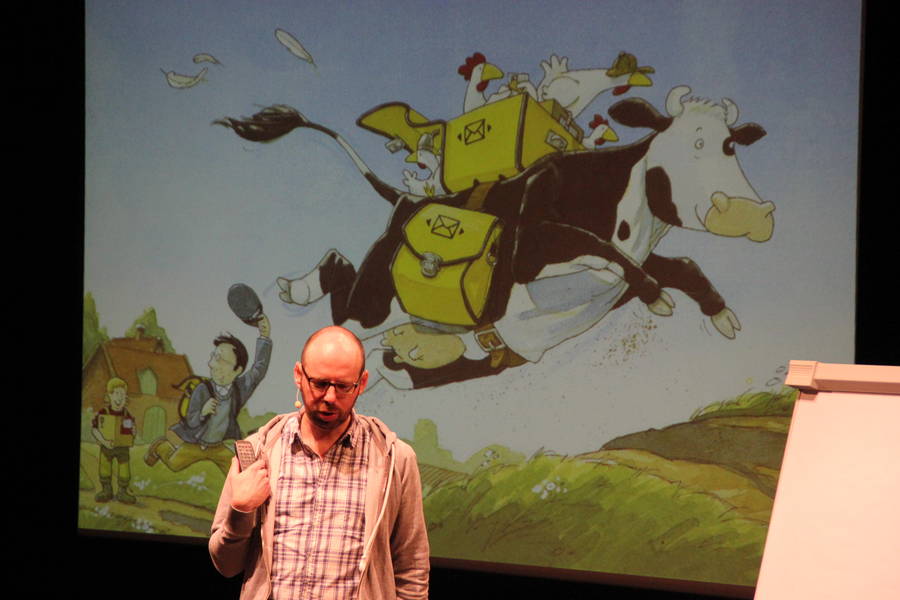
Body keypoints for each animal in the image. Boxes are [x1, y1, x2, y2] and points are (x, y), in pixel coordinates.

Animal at [215, 86, 772, 390]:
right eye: (690, 144)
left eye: (728, 145)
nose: (751, 214)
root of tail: (408, 200)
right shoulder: (535, 242)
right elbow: (605, 250)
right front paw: (660, 298)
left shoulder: (623, 266)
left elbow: (678, 266)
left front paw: (719, 313)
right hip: (374, 299)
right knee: (340, 280)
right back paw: (294, 288)